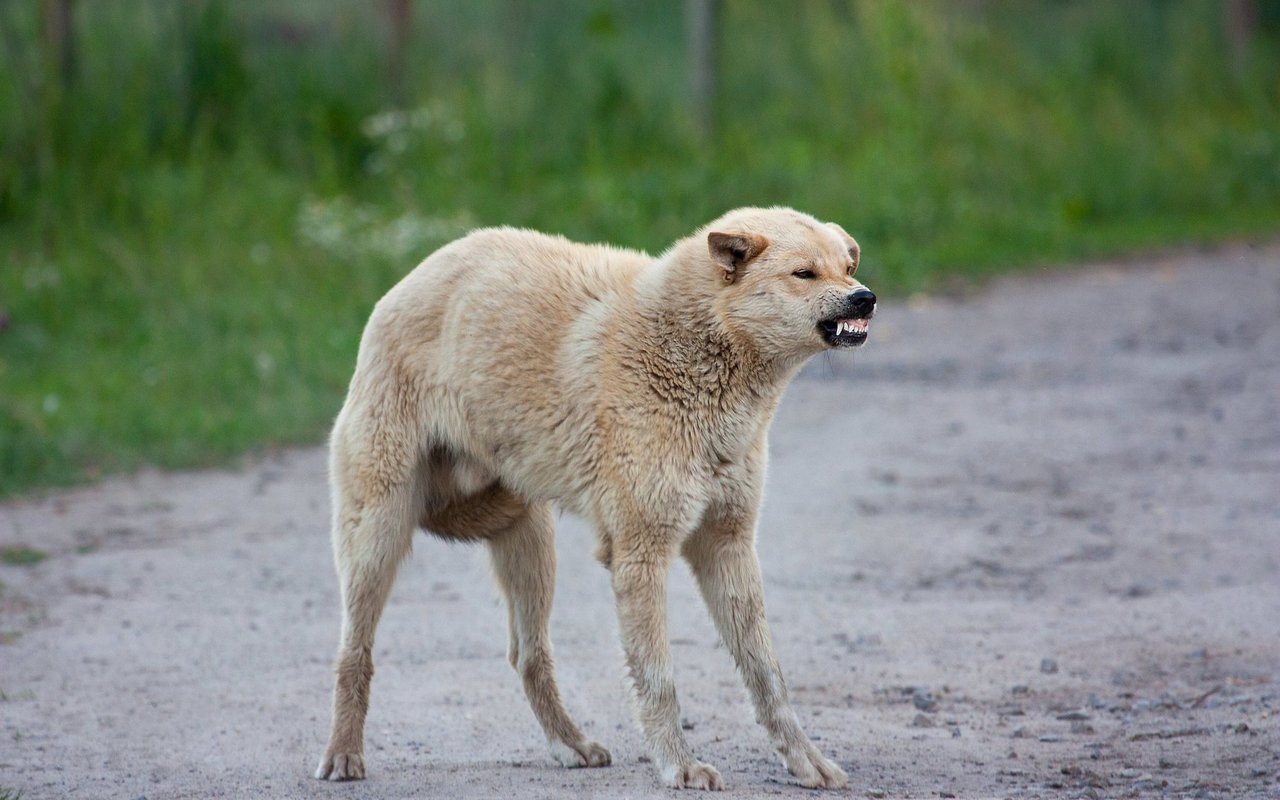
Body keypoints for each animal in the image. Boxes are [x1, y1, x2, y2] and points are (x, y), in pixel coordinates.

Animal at [317, 204, 880, 788]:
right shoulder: (640, 555)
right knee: (354, 653)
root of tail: (402, 286)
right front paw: (680, 766)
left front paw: (806, 762)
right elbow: (659, 681)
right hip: (378, 539)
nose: (866, 298)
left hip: (531, 546)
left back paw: (571, 744)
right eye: (804, 274)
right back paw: (343, 756)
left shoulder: (727, 545)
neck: (689, 353)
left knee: (528, 657)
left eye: (847, 267)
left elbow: (768, 677)